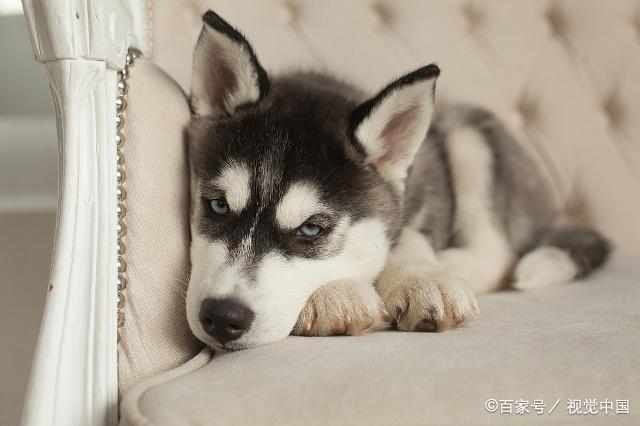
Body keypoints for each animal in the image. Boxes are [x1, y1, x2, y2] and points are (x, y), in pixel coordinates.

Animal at [185, 10, 608, 350]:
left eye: (310, 230)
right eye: (217, 205)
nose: (222, 317)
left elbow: (406, 238)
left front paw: (423, 277)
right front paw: (338, 294)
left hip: (468, 134)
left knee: (499, 251)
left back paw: (451, 263)